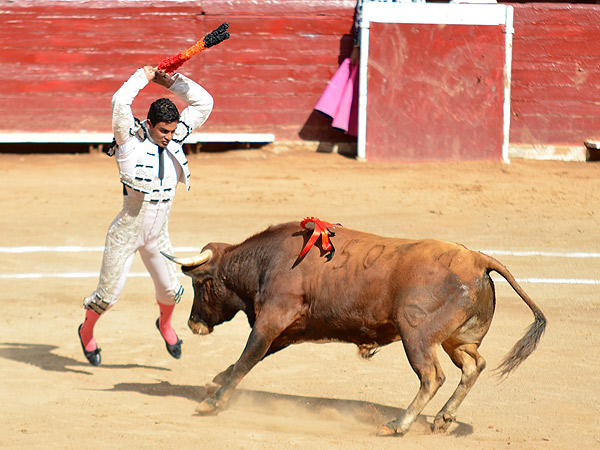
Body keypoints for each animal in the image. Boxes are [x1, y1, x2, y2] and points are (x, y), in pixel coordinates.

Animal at [163, 221, 544, 436]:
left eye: (201, 285)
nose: (193, 324)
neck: (265, 261)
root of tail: (478, 259)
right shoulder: (287, 328)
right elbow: (252, 358)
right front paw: (216, 382)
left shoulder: (273, 317)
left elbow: (248, 357)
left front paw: (212, 402)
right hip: (456, 340)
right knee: (473, 365)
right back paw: (442, 418)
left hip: (416, 335)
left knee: (432, 376)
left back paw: (398, 425)